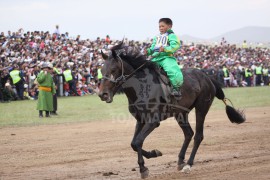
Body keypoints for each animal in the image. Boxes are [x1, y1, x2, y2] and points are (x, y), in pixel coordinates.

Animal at [98, 42, 246, 179]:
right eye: (102, 70)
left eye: (114, 69)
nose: (102, 94)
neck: (142, 86)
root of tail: (207, 76)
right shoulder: (140, 120)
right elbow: (134, 143)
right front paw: (149, 160)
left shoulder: (153, 121)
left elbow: (138, 141)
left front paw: (145, 165)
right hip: (181, 114)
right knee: (188, 133)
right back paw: (180, 160)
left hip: (201, 108)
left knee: (198, 136)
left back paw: (188, 164)